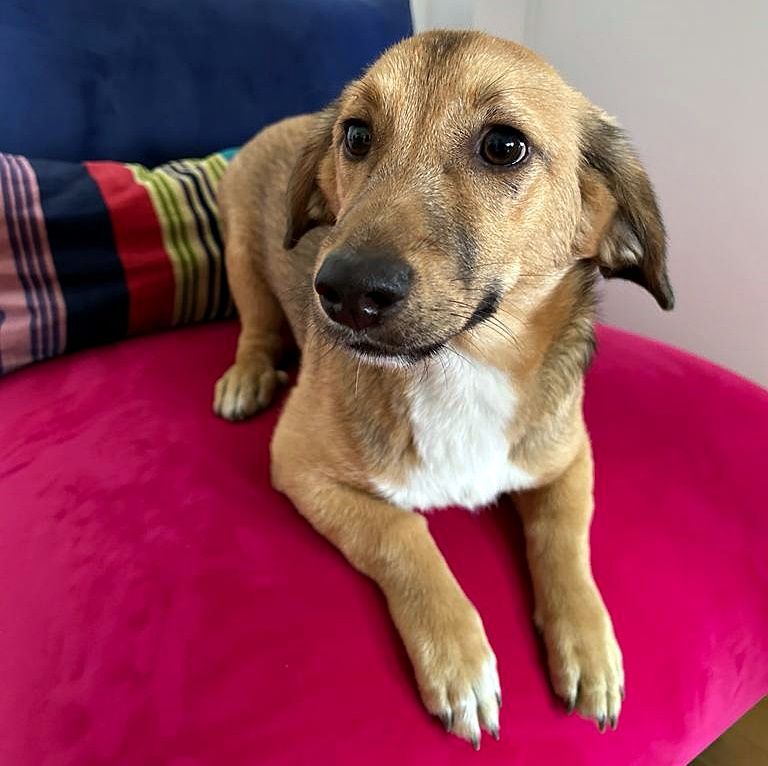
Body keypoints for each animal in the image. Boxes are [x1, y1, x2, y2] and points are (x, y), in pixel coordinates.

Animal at [213, 30, 673, 748]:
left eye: (504, 145)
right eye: (356, 135)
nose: (343, 291)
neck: (462, 365)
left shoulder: (569, 458)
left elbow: (565, 544)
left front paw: (589, 646)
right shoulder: (297, 465)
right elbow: (404, 536)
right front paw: (460, 660)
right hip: (242, 259)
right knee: (256, 325)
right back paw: (247, 376)